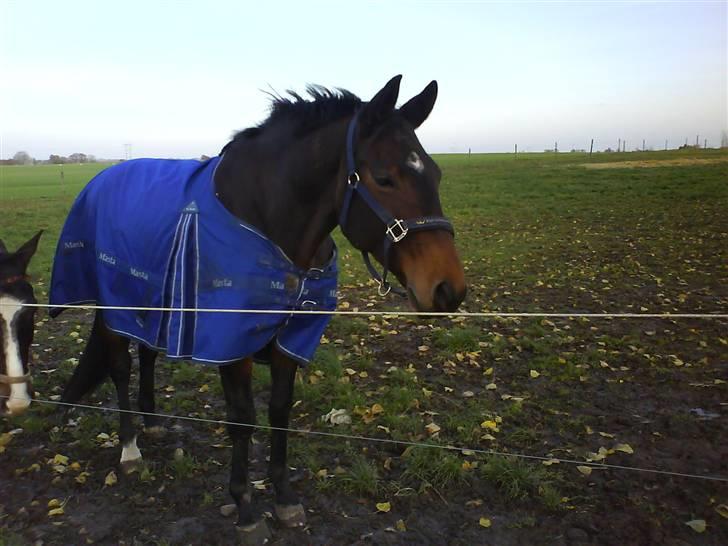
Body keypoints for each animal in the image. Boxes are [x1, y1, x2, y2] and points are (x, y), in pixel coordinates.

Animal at [49, 75, 466, 540]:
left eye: (435, 173)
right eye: (383, 178)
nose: (447, 289)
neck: (267, 221)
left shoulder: (289, 340)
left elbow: (280, 411)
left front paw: (284, 498)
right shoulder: (231, 344)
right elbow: (243, 420)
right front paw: (245, 508)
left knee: (148, 354)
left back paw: (152, 422)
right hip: (114, 303)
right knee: (121, 366)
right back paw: (129, 449)